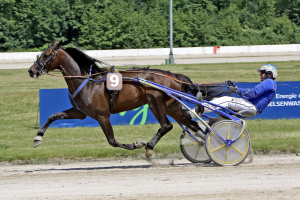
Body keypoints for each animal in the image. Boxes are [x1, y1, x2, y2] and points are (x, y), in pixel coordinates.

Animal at [28, 41, 209, 158]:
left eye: (46, 54)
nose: (31, 70)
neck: (88, 82)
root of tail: (174, 76)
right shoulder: (80, 112)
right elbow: (53, 116)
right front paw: (38, 137)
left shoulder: (102, 115)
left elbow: (112, 141)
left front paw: (136, 144)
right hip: (172, 107)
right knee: (192, 125)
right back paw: (206, 144)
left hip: (155, 102)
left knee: (167, 125)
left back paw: (149, 147)